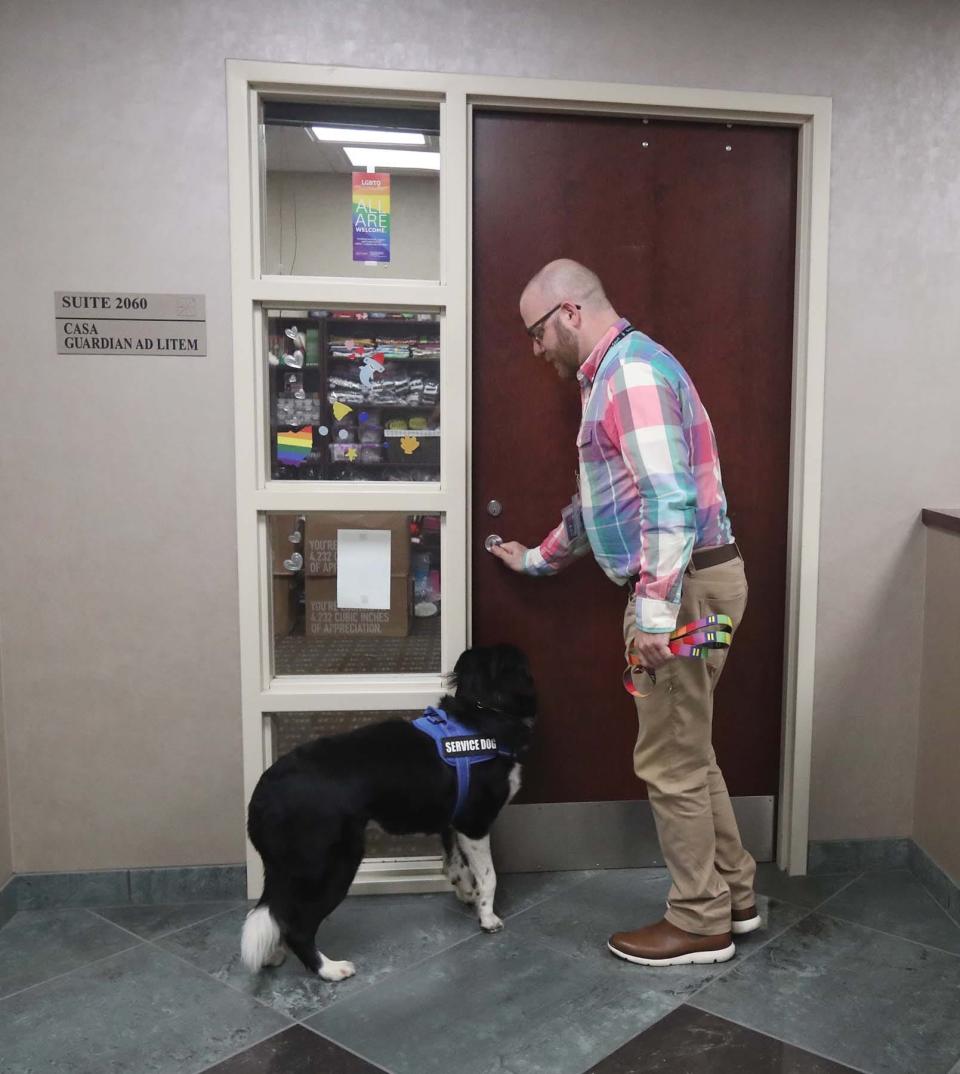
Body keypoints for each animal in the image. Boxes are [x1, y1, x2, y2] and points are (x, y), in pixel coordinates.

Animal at [240, 644, 536, 983]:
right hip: (332, 863)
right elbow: (489, 875)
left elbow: (457, 866)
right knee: (298, 926)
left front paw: (467, 894)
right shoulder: (474, 823)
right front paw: (488, 917)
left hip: (289, 868)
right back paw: (330, 969)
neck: (482, 708)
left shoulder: (452, 822)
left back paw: (272, 954)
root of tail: (263, 794)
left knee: (273, 911)